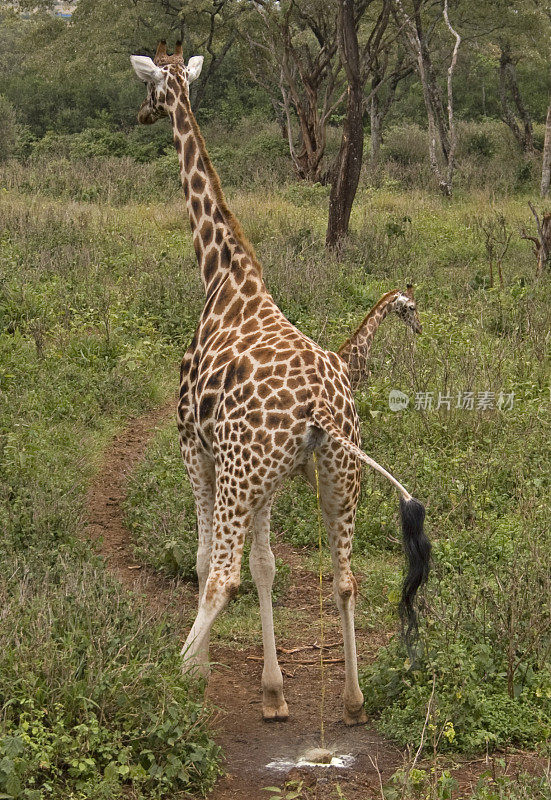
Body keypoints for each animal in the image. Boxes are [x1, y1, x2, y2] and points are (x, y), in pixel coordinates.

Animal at [130, 45, 432, 732]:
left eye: (152, 85)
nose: (139, 115)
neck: (223, 276)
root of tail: (325, 403)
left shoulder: (195, 447)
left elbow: (206, 562)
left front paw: (207, 670)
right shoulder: (269, 477)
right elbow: (267, 568)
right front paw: (274, 691)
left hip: (244, 472)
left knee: (221, 575)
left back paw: (167, 675)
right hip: (337, 474)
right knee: (345, 578)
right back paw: (353, 699)